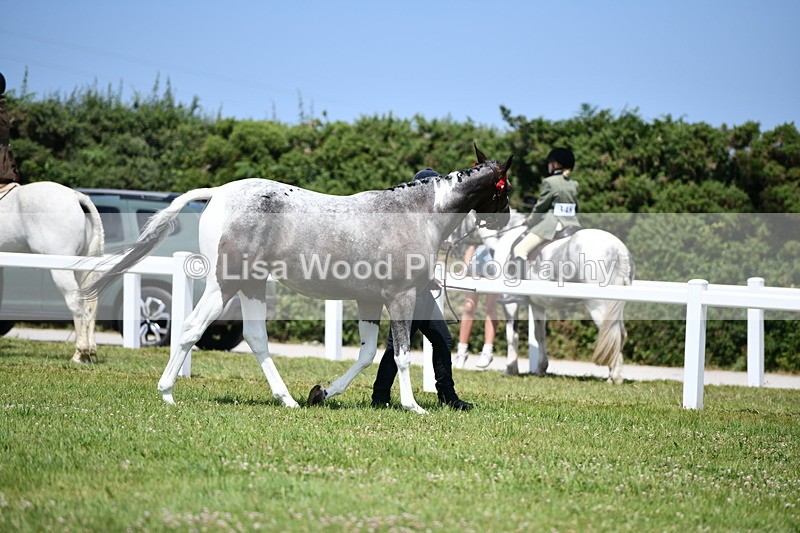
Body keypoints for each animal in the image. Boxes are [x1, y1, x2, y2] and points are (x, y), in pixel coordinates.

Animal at [0, 182, 105, 362]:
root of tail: (77, 197)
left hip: (61, 269)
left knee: (76, 302)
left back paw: (80, 353)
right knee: (90, 305)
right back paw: (89, 352)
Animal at [85, 145, 512, 413]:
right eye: (505, 187)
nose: (504, 220)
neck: (415, 214)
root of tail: (218, 193)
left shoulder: (370, 300)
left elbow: (367, 353)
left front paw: (322, 392)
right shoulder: (401, 296)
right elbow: (404, 354)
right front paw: (412, 405)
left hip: (252, 285)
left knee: (256, 338)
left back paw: (287, 399)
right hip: (226, 284)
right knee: (191, 328)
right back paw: (168, 393)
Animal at [491, 225, 634, 384]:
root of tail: (618, 249)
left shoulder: (509, 302)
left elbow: (511, 334)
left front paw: (510, 369)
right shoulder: (537, 304)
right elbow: (539, 334)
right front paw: (541, 368)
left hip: (598, 306)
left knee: (613, 335)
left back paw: (615, 377)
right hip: (614, 307)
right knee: (618, 335)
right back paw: (613, 376)